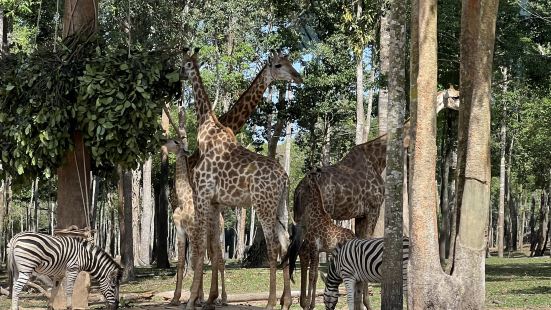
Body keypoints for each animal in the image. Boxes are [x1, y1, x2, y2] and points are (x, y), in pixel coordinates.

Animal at [286, 171, 356, 308]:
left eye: (304, 186)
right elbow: (315, 275)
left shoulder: (313, 246)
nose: (296, 194)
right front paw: (311, 304)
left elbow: (312, 275)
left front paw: (307, 305)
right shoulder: (317, 250)